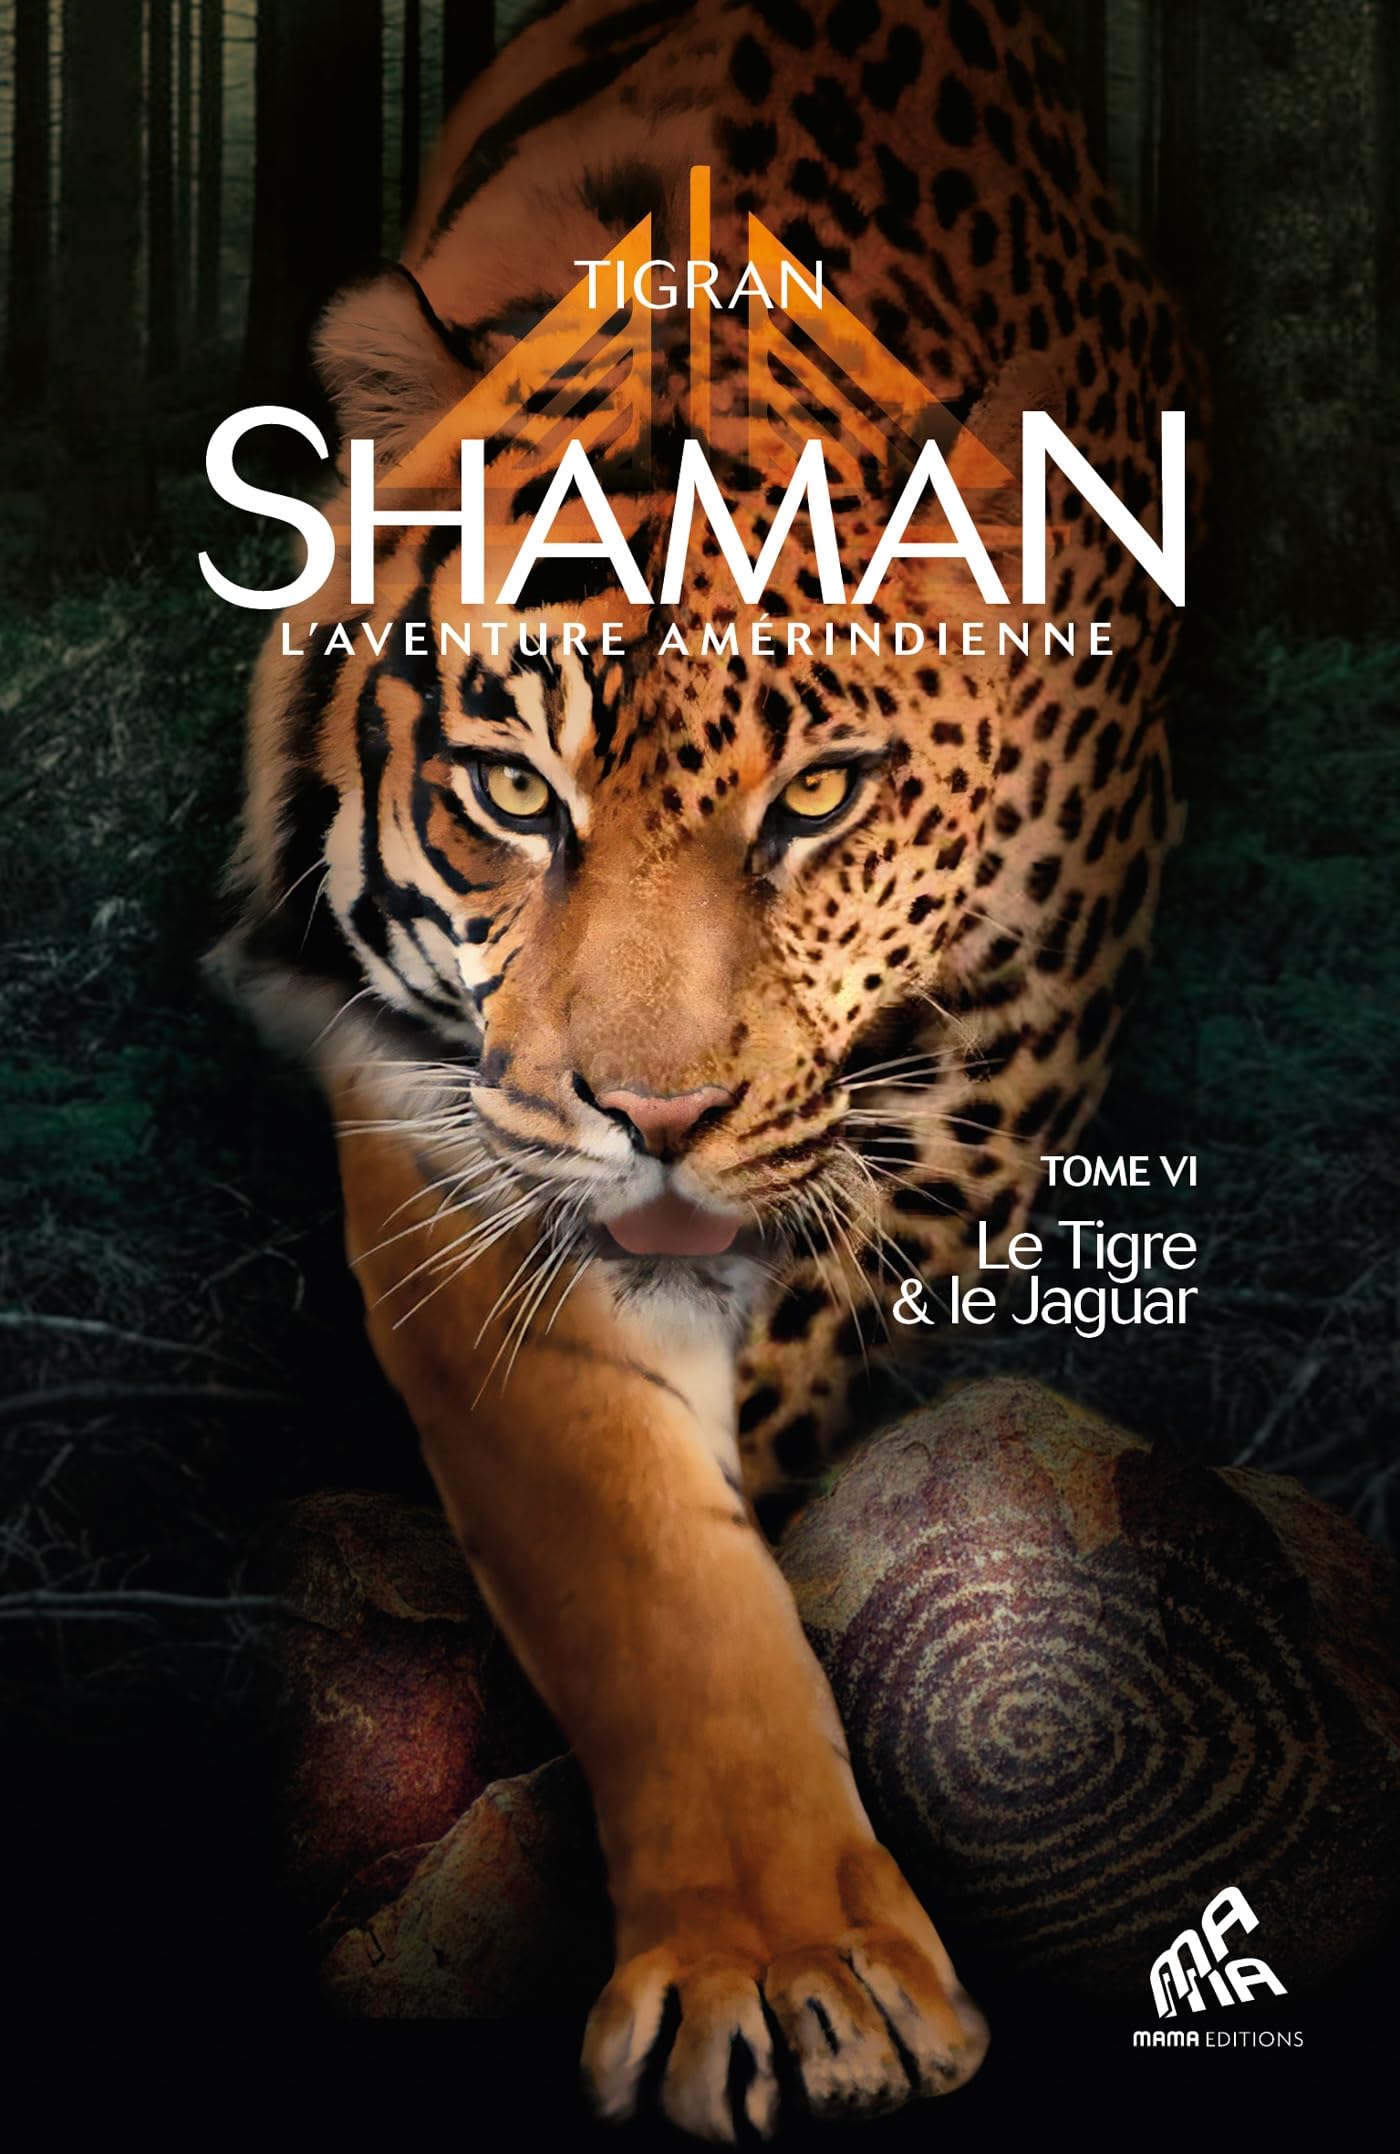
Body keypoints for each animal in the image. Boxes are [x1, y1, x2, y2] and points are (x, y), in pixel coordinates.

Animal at [214, 0, 1206, 2135]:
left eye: (817, 797)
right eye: (517, 791)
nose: (657, 1117)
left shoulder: (990, 1100)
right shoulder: (460, 1131)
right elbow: (647, 1564)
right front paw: (780, 1962)